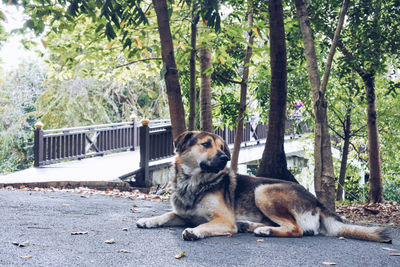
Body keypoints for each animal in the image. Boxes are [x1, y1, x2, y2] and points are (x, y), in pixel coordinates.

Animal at [136, 131, 392, 244]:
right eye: (206, 144)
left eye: (221, 147)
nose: (224, 158)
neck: (194, 182)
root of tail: (318, 202)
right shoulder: (182, 214)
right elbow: (166, 215)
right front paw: (148, 220)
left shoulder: (224, 220)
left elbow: (205, 225)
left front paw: (195, 231)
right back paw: (253, 226)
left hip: (263, 191)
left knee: (297, 229)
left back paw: (264, 230)